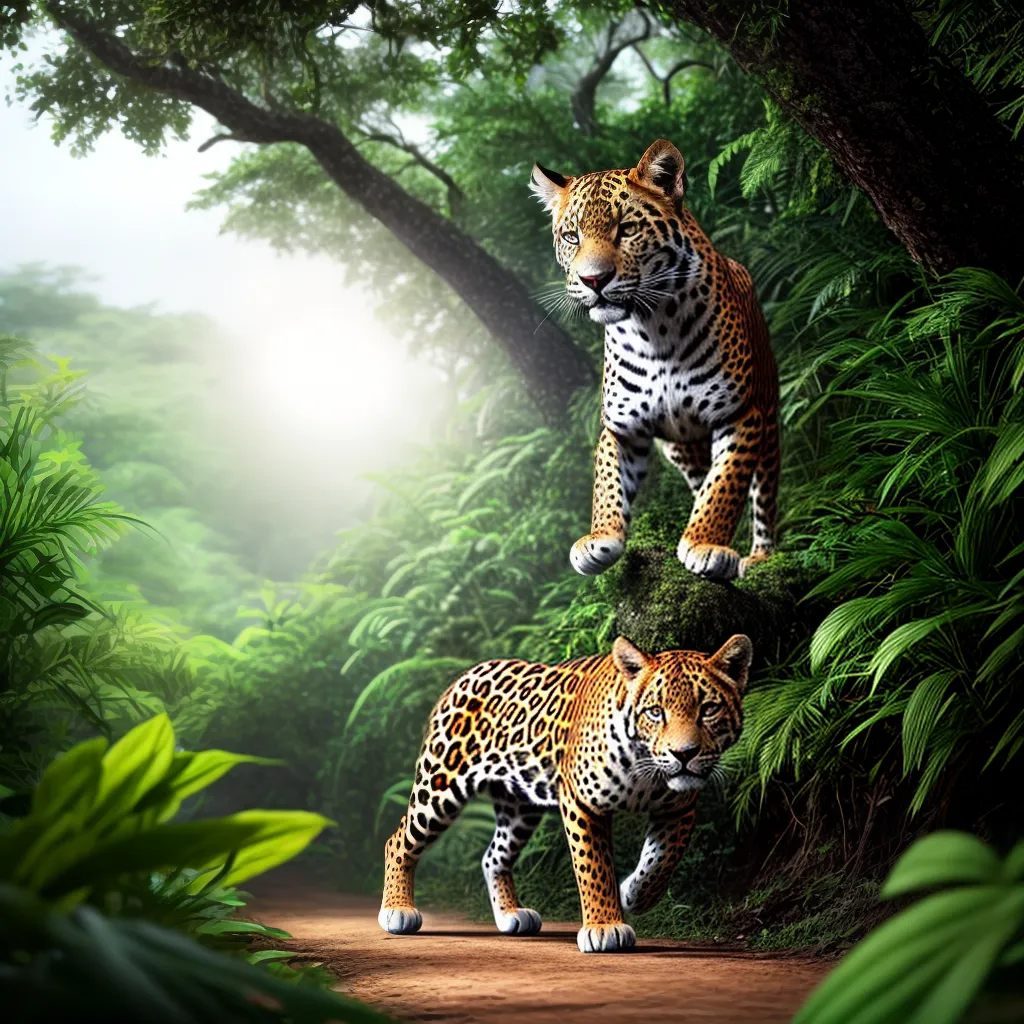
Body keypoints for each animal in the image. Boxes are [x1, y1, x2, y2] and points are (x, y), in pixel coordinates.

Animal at [378, 633, 751, 953]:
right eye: (655, 712)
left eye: (709, 709)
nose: (684, 754)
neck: (644, 769)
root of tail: (465, 674)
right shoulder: (582, 801)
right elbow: (594, 865)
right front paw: (604, 927)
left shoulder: (679, 808)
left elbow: (663, 860)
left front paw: (634, 894)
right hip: (440, 784)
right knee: (399, 840)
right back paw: (397, 911)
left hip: (519, 807)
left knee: (494, 856)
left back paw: (510, 914)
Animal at [530, 139, 780, 582]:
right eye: (572, 236)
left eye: (626, 229)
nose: (594, 280)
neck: (653, 329)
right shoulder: (622, 428)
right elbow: (607, 484)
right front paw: (599, 538)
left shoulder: (740, 414)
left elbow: (726, 485)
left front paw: (705, 543)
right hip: (681, 448)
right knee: (700, 478)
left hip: (767, 417)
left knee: (762, 496)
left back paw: (760, 556)